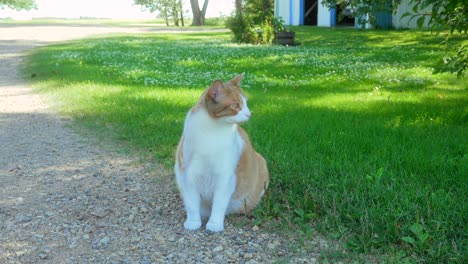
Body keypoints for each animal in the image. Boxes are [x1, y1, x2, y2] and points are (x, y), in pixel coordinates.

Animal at [175, 73, 270, 231]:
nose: (249, 114)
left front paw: (214, 224)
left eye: (246, 103)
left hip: (261, 163)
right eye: (236, 105)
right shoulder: (188, 175)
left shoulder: (225, 178)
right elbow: (192, 204)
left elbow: (219, 204)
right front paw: (193, 222)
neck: (210, 134)